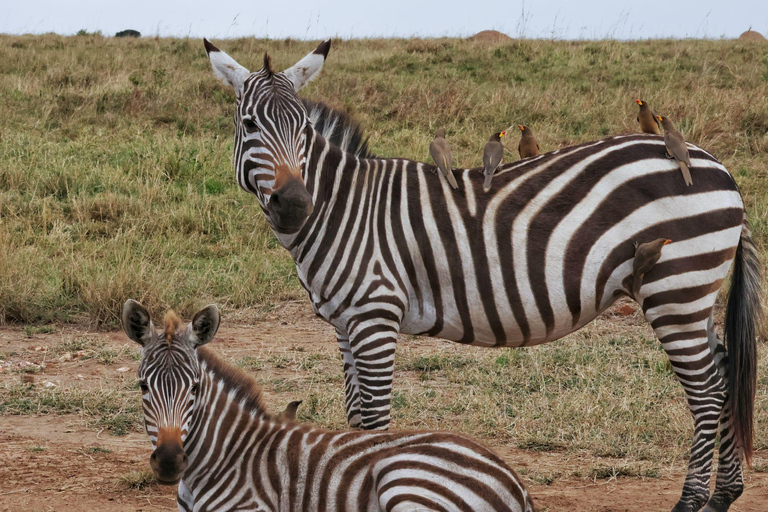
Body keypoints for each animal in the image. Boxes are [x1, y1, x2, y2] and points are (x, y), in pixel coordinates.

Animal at [204, 40, 760, 512]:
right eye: (249, 124)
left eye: (303, 131)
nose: (295, 205)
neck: (345, 208)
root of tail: (717, 166)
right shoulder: (345, 323)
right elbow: (355, 418)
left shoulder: (374, 314)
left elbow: (377, 421)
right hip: (693, 291)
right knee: (725, 370)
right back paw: (723, 495)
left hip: (676, 286)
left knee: (707, 389)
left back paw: (692, 501)